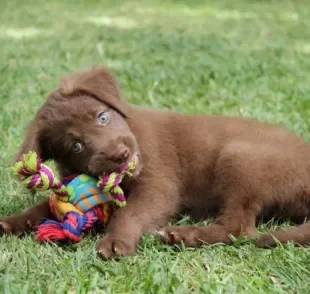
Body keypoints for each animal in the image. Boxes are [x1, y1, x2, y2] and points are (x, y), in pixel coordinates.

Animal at [0, 66, 310, 258]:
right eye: (75, 146)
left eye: (103, 117)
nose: (121, 155)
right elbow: (42, 207)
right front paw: (13, 222)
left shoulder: (158, 185)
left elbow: (130, 213)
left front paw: (115, 241)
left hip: (239, 157)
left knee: (240, 228)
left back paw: (184, 235)